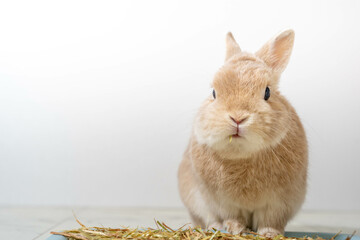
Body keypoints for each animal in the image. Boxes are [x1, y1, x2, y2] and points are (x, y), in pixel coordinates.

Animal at [179, 30, 308, 238]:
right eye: (213, 93)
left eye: (267, 92)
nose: (237, 118)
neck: (242, 154)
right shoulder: (223, 202)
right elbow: (233, 217)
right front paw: (235, 229)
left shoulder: (279, 202)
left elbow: (271, 220)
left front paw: (270, 233)